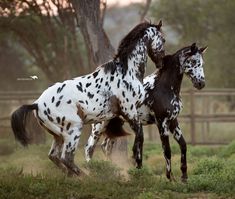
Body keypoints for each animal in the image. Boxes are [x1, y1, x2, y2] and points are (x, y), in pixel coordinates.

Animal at [10, 20, 165, 176]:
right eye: (163, 40)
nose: (161, 64)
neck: (127, 72)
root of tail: (37, 104)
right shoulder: (130, 112)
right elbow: (139, 137)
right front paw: (137, 163)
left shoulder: (112, 117)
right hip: (74, 130)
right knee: (66, 158)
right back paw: (86, 176)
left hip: (58, 136)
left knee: (54, 156)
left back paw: (73, 175)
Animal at [85, 43, 207, 182]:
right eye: (193, 61)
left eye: (202, 63)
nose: (201, 83)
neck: (164, 88)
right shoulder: (161, 122)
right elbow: (167, 150)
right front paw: (170, 177)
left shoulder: (173, 121)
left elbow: (183, 145)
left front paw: (184, 176)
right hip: (99, 126)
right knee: (89, 148)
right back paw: (92, 172)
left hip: (114, 125)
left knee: (106, 147)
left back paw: (112, 171)